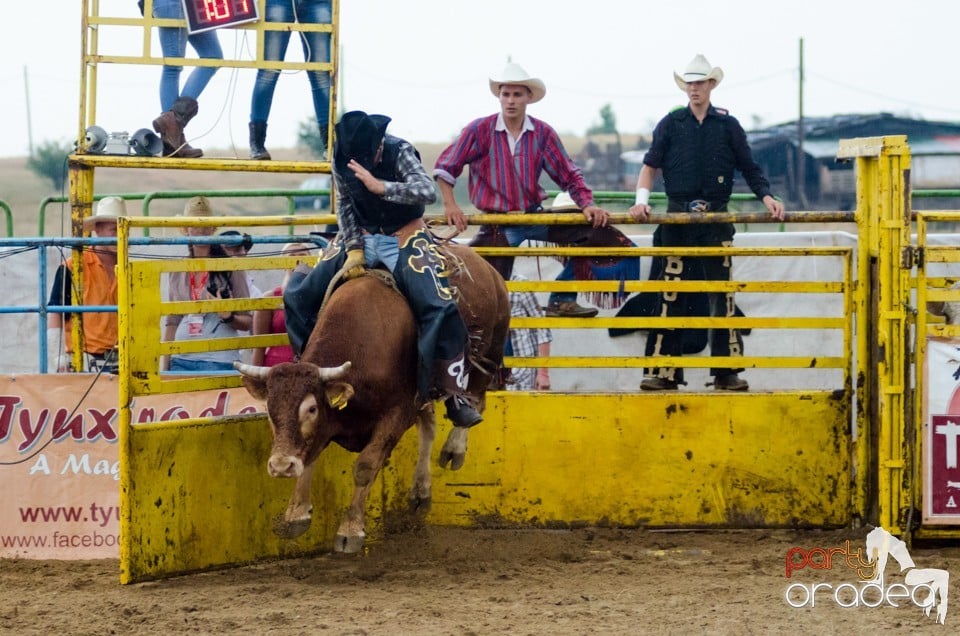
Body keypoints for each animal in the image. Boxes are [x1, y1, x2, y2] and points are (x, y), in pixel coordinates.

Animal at [233, 243, 510, 552]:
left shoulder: (397, 414)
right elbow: (312, 454)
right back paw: (420, 491)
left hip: (488, 355)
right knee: (428, 427)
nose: (281, 466)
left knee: (474, 399)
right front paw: (296, 513)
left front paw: (351, 529)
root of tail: (487, 268)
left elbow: (365, 467)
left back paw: (455, 448)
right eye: (270, 411)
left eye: (311, 409)